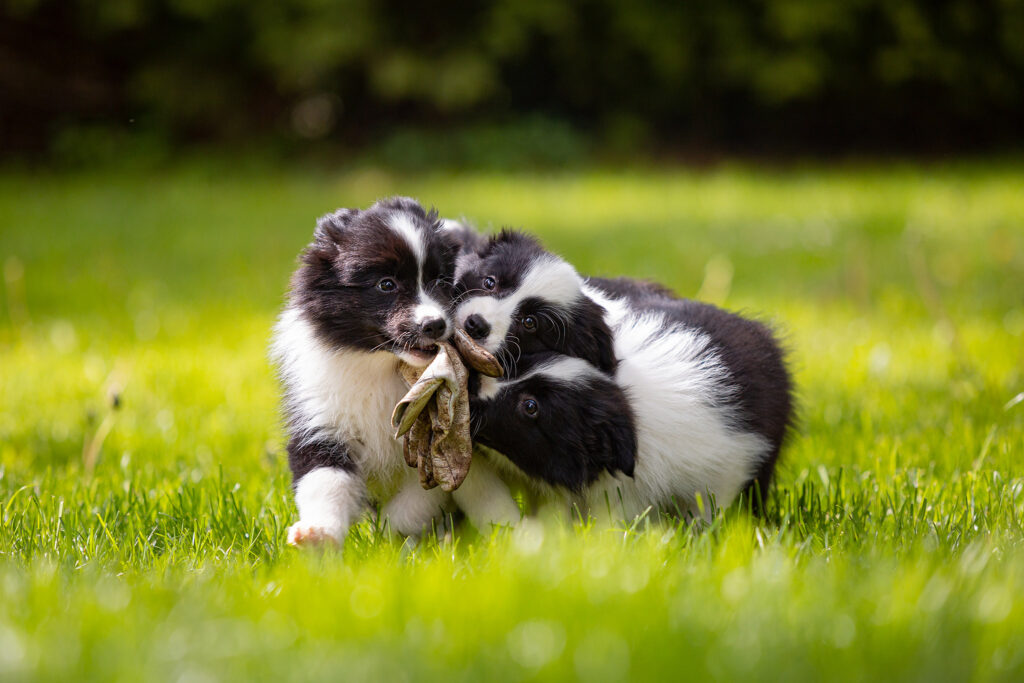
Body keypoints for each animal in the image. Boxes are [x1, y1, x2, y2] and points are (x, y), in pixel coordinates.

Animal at [270, 194, 516, 548]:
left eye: (439, 281)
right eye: (386, 285)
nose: (435, 324)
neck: (382, 365)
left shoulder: (435, 442)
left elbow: (418, 498)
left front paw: (387, 539)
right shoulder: (322, 418)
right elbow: (325, 479)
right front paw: (318, 533)